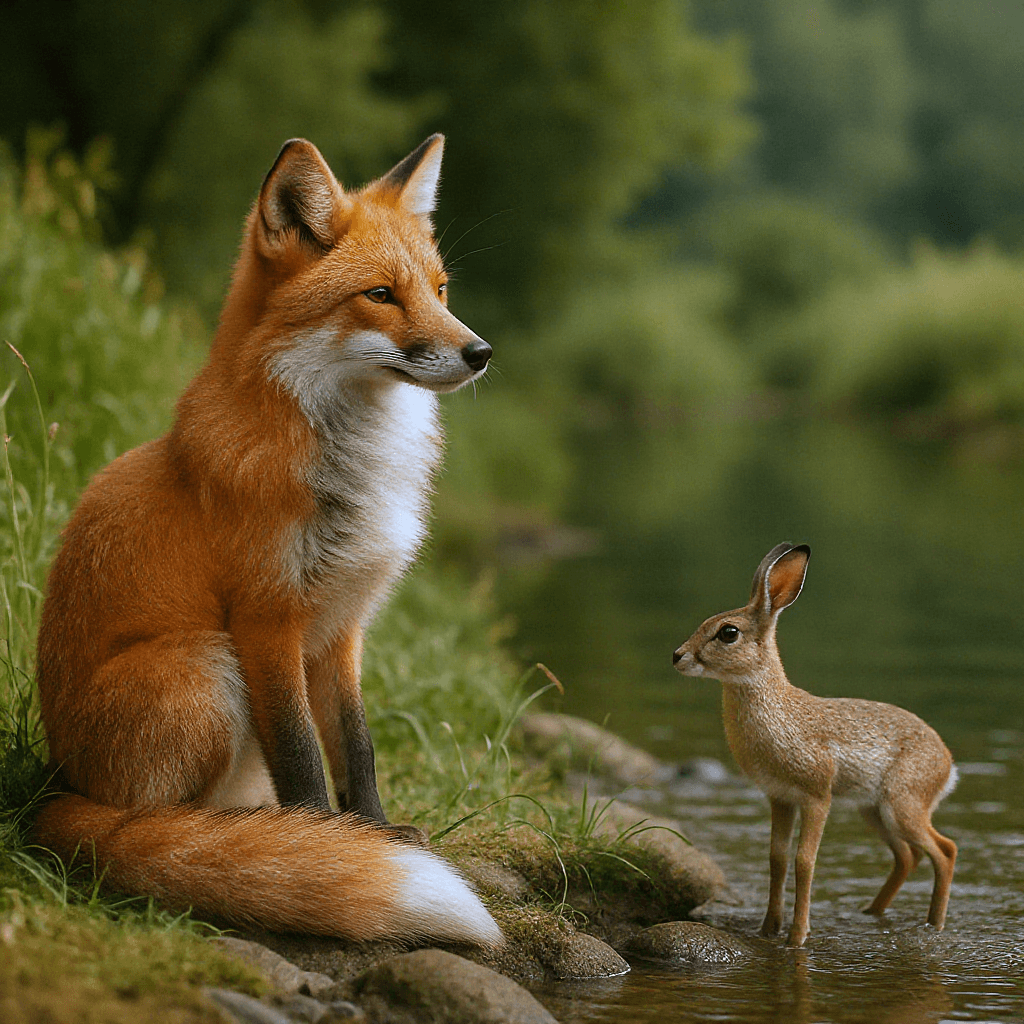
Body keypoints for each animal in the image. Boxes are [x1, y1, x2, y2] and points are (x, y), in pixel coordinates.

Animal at [30, 134, 502, 946]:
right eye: (382, 295)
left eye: (441, 290)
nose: (480, 352)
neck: (351, 475)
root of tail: (59, 791)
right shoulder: (267, 618)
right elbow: (303, 753)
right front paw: (321, 841)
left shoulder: (342, 626)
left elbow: (356, 747)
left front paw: (370, 831)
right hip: (203, 663)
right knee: (155, 823)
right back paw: (220, 839)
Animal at [672, 543, 957, 947]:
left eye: (728, 632)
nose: (678, 656)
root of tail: (947, 763)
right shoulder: (780, 798)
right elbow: (776, 858)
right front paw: (768, 929)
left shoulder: (816, 799)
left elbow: (804, 861)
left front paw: (797, 937)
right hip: (874, 812)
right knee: (908, 857)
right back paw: (871, 913)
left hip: (903, 806)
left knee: (944, 852)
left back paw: (934, 924)